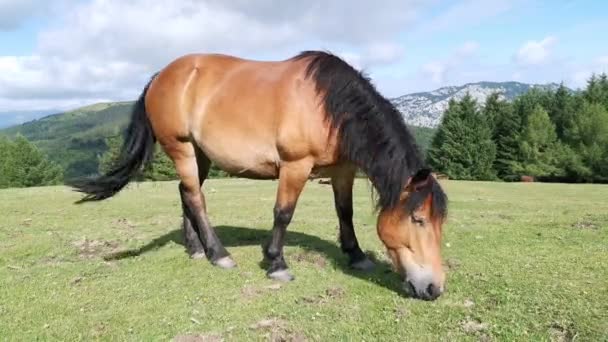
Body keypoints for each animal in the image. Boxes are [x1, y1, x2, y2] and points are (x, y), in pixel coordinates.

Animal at [72, 50, 452, 300]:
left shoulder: (343, 169)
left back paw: (195, 249)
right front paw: (276, 263)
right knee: (195, 198)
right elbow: (283, 213)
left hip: (200, 155)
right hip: (182, 149)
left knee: (185, 195)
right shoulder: (295, 166)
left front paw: (356, 255)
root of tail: (160, 76)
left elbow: (345, 212)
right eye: (418, 219)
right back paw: (218, 254)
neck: (328, 105)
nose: (434, 288)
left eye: (439, 222)